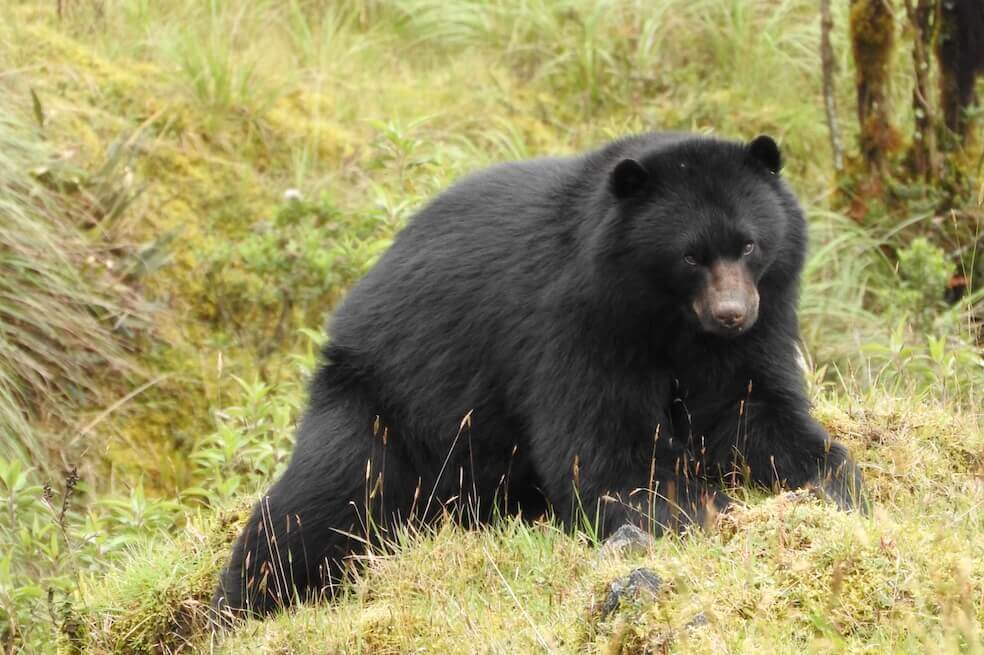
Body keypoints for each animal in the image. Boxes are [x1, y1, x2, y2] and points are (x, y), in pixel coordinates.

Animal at [213, 132, 868, 621]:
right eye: (690, 256)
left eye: (749, 245)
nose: (732, 314)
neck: (667, 320)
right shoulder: (574, 326)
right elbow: (604, 453)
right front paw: (707, 514)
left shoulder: (757, 323)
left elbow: (751, 408)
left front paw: (831, 483)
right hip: (379, 405)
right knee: (320, 502)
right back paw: (242, 604)